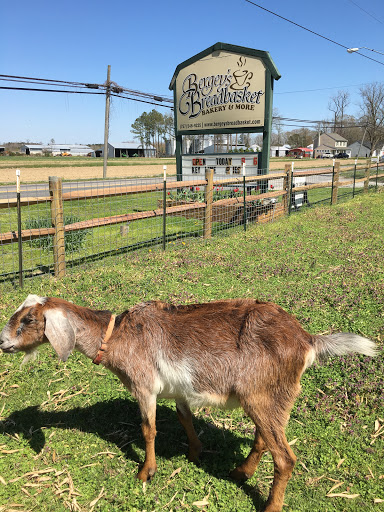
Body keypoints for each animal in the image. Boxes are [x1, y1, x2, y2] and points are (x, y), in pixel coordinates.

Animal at [0, 294, 378, 510]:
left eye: (28, 319)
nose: (3, 343)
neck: (117, 336)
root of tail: (306, 340)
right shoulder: (179, 390)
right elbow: (184, 419)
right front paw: (195, 453)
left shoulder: (144, 387)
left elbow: (148, 429)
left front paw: (146, 473)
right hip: (273, 397)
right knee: (265, 439)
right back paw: (241, 471)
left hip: (261, 396)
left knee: (285, 458)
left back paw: (270, 506)